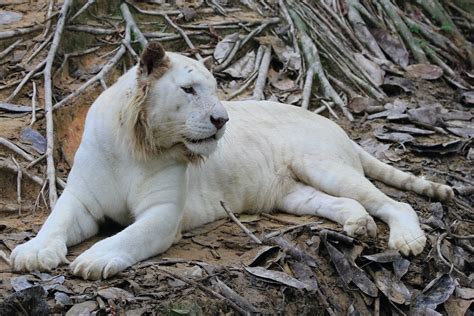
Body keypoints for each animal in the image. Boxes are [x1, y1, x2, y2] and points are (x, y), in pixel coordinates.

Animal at [9, 42, 454, 278]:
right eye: (189, 90)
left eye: (215, 90)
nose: (222, 119)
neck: (136, 145)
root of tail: (334, 124)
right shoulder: (82, 199)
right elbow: (55, 220)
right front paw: (32, 253)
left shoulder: (163, 214)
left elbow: (129, 236)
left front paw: (94, 260)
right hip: (295, 193)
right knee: (346, 203)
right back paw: (358, 226)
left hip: (324, 166)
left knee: (394, 203)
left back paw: (407, 240)